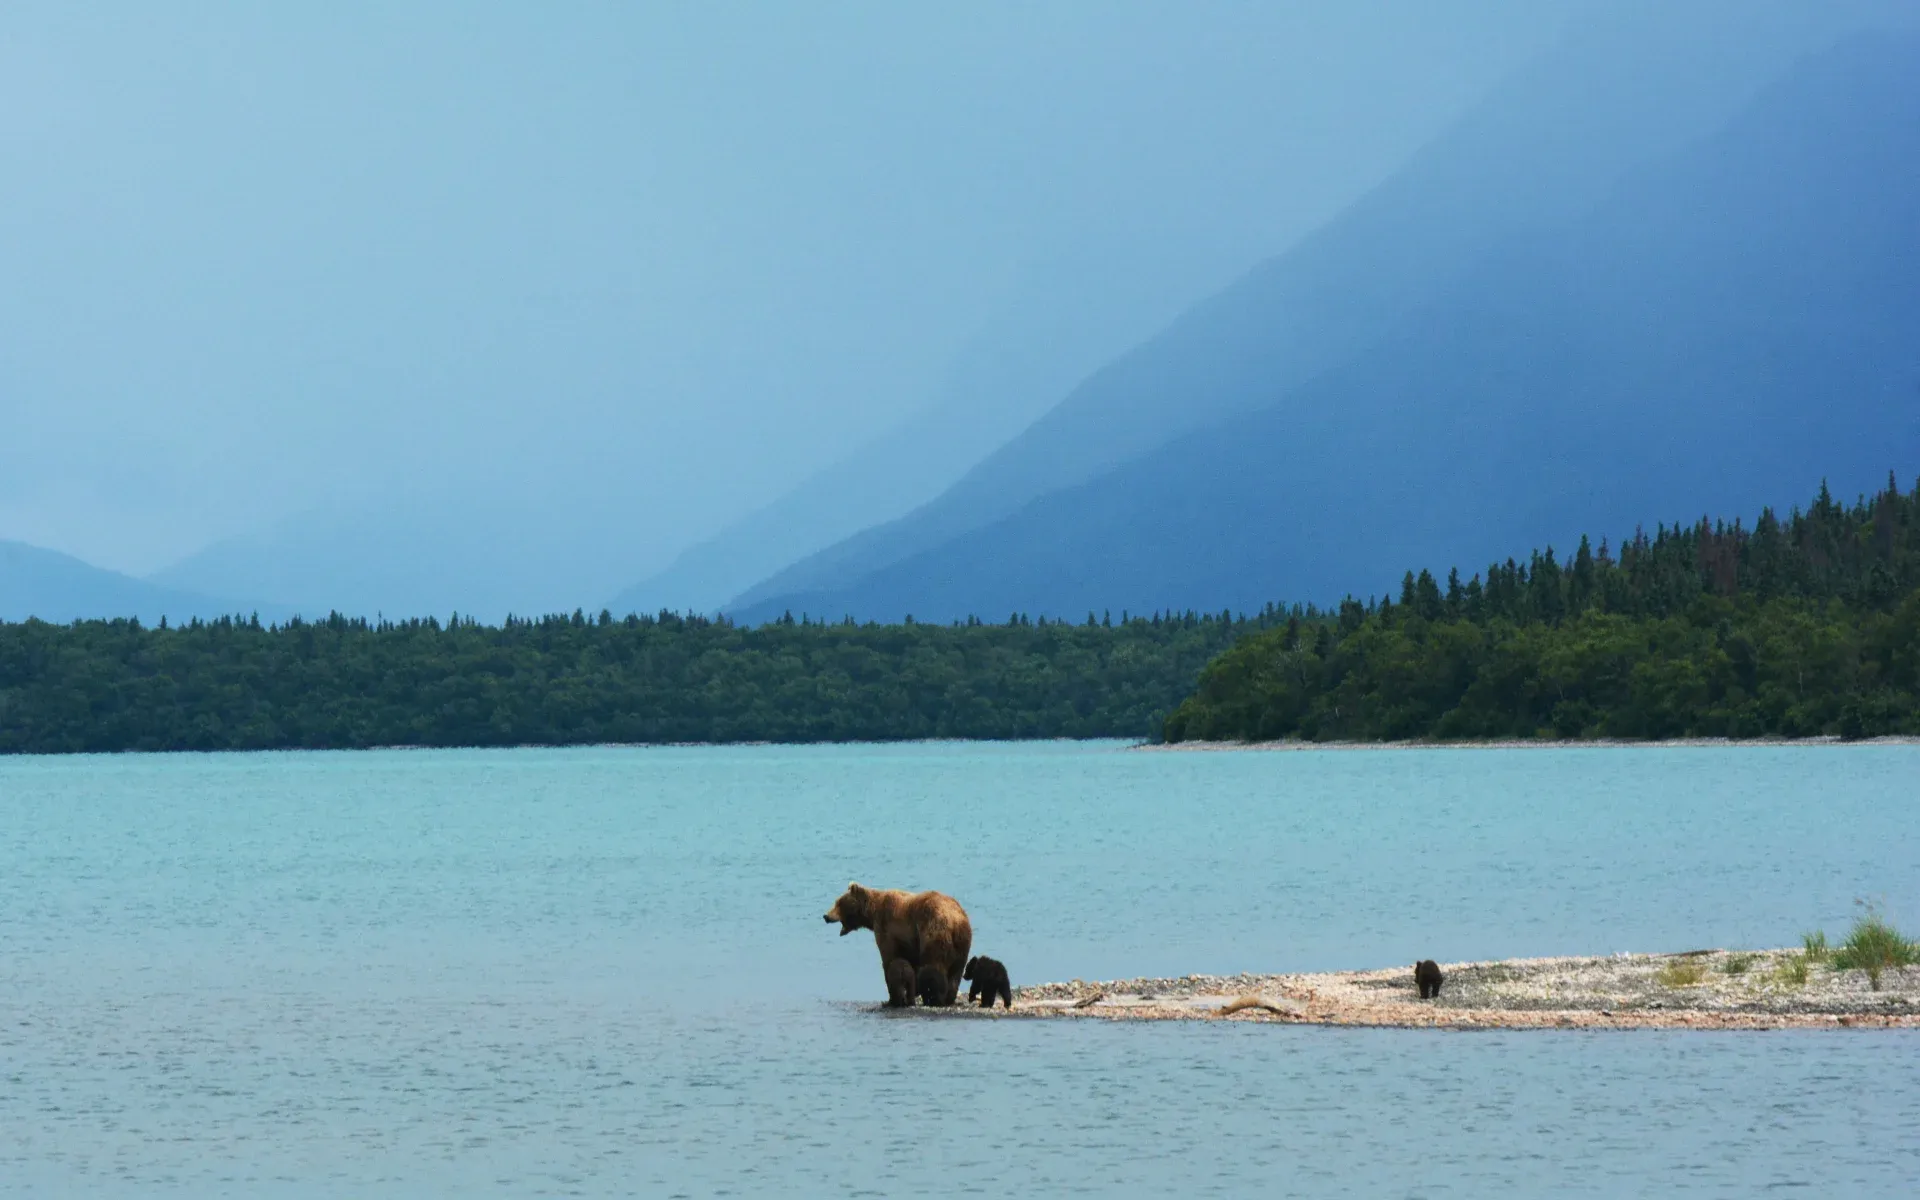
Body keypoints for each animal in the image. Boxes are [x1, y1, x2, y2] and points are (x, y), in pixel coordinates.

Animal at [824, 882, 972, 1006]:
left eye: (838, 903)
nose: (825, 916)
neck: (872, 913)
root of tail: (956, 922)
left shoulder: (887, 928)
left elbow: (889, 959)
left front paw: (892, 998)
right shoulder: (909, 942)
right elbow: (909, 965)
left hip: (934, 932)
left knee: (933, 967)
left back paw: (934, 999)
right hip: (962, 944)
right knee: (956, 973)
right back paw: (948, 999)